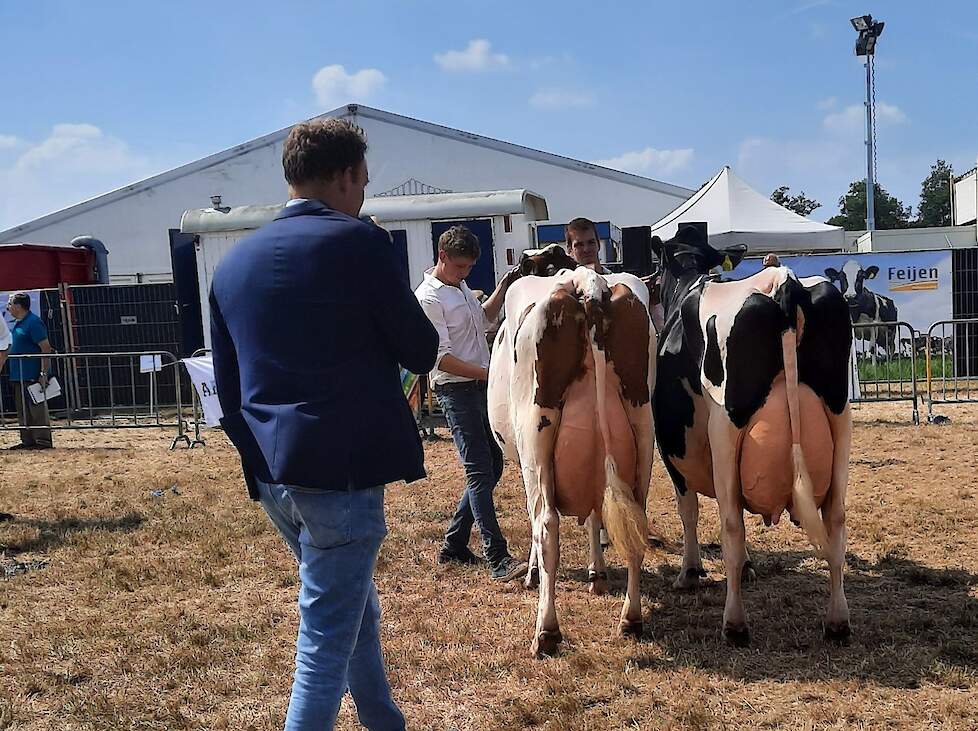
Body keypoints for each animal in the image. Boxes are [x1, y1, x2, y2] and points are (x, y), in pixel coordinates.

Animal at [488, 264, 656, 656]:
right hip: (642, 427)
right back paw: (631, 619)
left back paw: (546, 632)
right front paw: (598, 573)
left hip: (536, 437)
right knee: (635, 520)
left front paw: (533, 574)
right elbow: (596, 513)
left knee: (547, 524)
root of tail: (587, 283)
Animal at [648, 229, 856, 648]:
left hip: (726, 428)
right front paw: (746, 567)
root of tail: (784, 283)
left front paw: (690, 572)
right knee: (836, 521)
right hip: (840, 416)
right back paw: (837, 621)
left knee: (730, 523)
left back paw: (735, 624)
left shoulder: (672, 445)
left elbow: (689, 510)